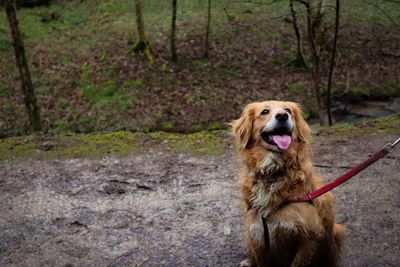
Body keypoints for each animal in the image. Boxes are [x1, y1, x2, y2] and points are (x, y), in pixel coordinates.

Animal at [233, 101, 346, 266]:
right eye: (264, 111)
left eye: (288, 110)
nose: (282, 116)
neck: (273, 174)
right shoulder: (258, 235)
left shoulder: (310, 235)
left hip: (337, 232)